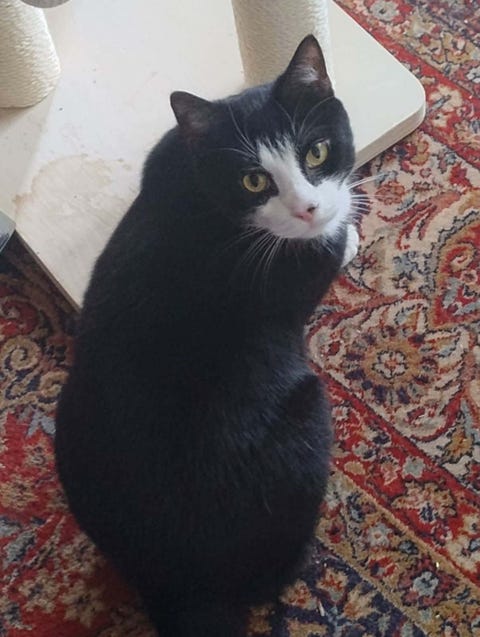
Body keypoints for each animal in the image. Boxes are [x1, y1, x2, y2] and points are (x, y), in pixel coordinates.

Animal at [55, 35, 358, 637]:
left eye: (315, 153)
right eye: (254, 180)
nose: (307, 207)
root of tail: (185, 587)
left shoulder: (167, 150)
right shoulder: (298, 270)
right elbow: (331, 247)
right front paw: (350, 226)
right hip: (308, 414)